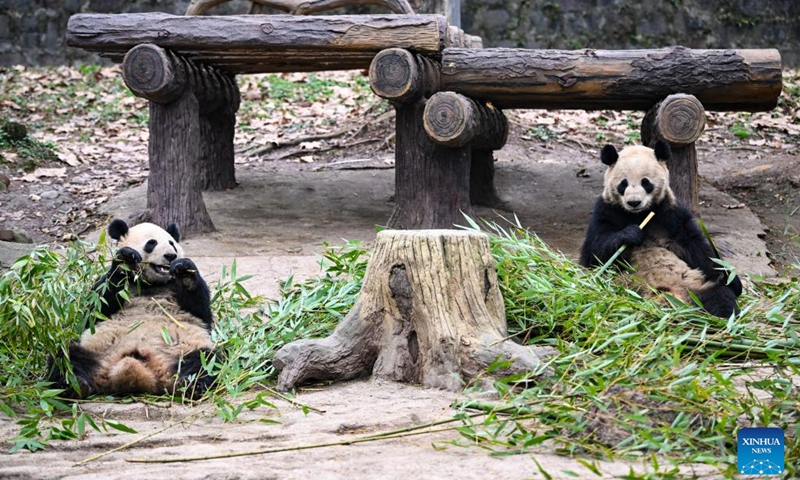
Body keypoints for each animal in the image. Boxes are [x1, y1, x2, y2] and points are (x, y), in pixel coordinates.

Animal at [48, 219, 217, 399]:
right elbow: (95, 309)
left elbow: (201, 311)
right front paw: (127, 259)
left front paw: (184, 269)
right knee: (66, 358)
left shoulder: (174, 288)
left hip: (184, 350)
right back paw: (73, 385)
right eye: (151, 243)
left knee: (205, 360)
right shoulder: (116, 287)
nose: (171, 256)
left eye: (172, 243)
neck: (151, 283)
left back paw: (192, 385)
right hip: (93, 350)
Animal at [579, 140, 743, 318]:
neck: (638, 214)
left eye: (646, 182)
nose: (634, 202)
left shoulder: (670, 213)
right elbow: (594, 252)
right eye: (623, 183)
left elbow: (697, 247)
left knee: (719, 295)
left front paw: (732, 279)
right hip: (624, 286)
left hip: (698, 285)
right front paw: (631, 234)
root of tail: (672, 296)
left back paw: (723, 317)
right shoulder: (606, 210)